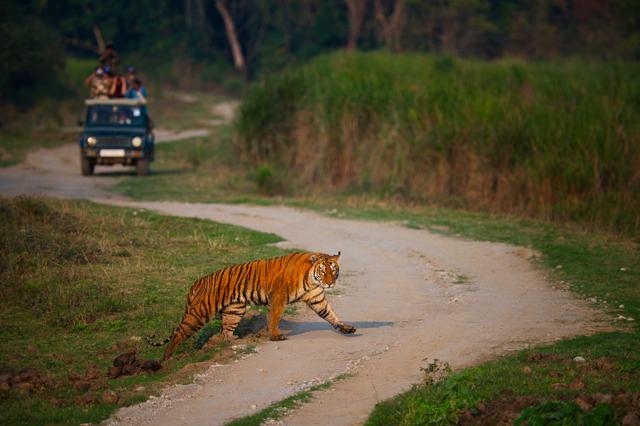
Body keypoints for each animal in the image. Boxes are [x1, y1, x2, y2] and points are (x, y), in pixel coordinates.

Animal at [150, 251, 356, 360]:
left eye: (333, 270)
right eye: (323, 271)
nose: (329, 283)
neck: (312, 279)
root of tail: (198, 282)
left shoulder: (316, 298)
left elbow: (330, 314)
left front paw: (346, 328)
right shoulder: (278, 297)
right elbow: (274, 317)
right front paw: (275, 336)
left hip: (235, 309)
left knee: (225, 331)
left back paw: (234, 342)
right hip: (201, 312)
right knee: (179, 332)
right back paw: (165, 360)